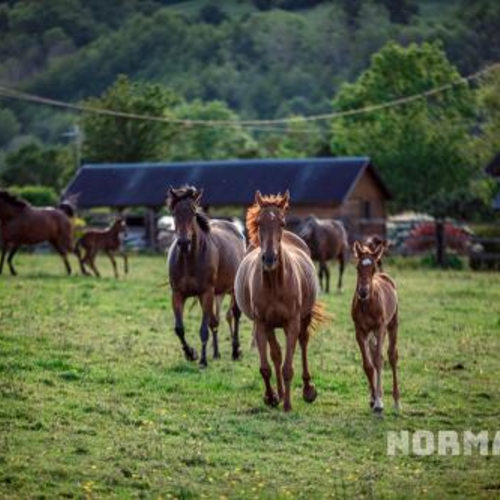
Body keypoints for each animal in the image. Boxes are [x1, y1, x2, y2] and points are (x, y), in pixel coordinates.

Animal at [168, 186, 246, 366]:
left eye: (193, 212)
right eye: (174, 213)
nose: (184, 242)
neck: (189, 260)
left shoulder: (206, 293)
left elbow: (204, 329)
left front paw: (202, 360)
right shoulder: (177, 294)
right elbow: (179, 329)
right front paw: (191, 354)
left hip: (232, 290)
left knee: (235, 315)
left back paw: (235, 351)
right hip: (217, 293)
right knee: (215, 320)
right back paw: (216, 353)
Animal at [235, 189, 326, 412]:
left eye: (282, 224)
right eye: (259, 223)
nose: (269, 258)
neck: (275, 283)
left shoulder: (292, 323)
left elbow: (287, 367)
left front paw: (287, 406)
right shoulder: (261, 324)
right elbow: (266, 367)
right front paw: (271, 397)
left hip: (303, 319)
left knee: (303, 344)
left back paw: (308, 390)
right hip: (270, 327)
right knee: (276, 354)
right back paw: (280, 392)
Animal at [350, 239, 400, 414]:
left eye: (373, 269)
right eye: (357, 267)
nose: (363, 292)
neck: (367, 305)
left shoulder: (380, 327)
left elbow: (379, 360)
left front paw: (379, 403)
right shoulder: (360, 331)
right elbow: (368, 365)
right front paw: (374, 399)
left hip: (392, 325)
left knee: (391, 356)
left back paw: (396, 401)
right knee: (374, 355)